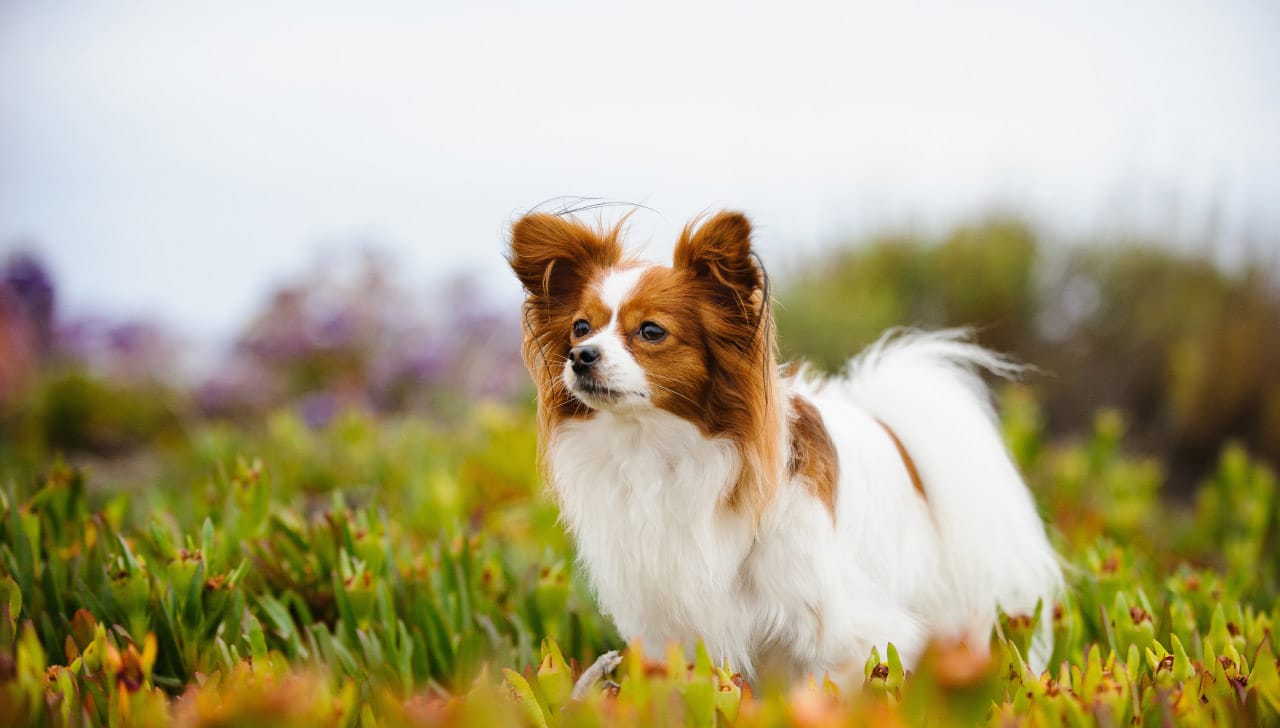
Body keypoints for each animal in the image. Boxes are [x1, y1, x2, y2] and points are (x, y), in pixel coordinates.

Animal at [506, 208, 1059, 680]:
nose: (581, 356)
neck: (659, 449)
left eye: (651, 331)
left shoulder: (843, 631)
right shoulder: (677, 626)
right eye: (580, 327)